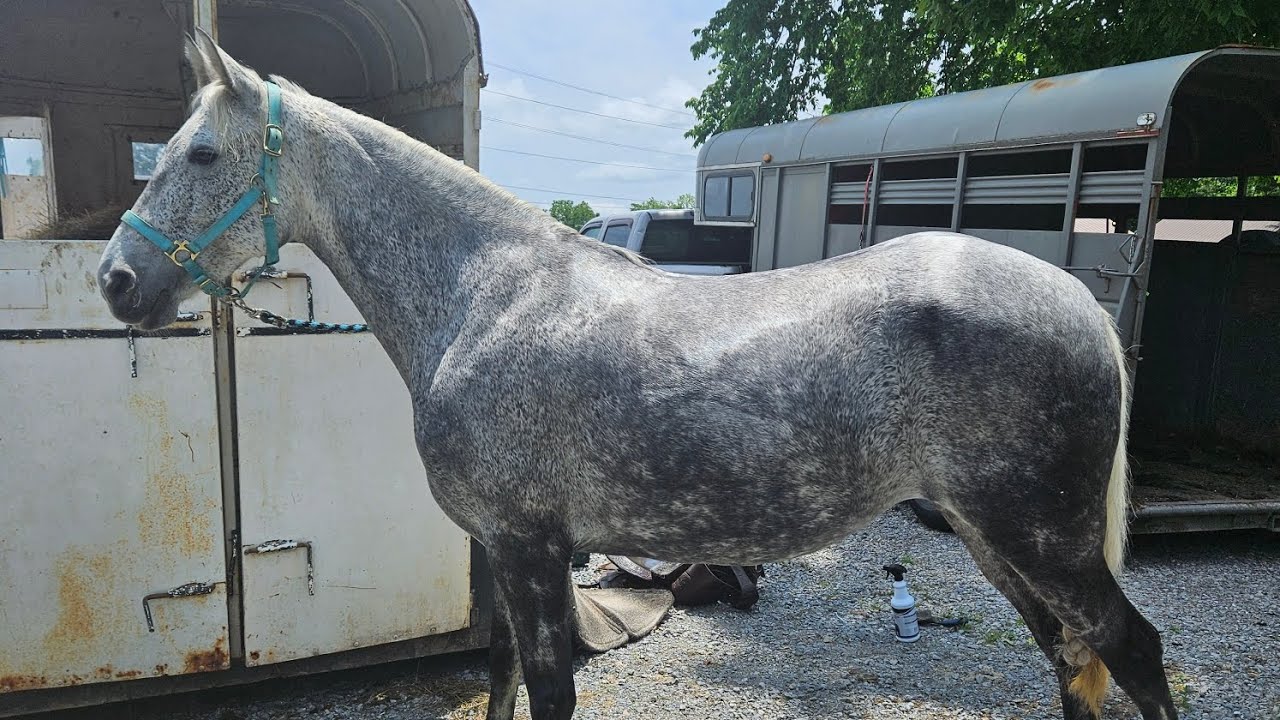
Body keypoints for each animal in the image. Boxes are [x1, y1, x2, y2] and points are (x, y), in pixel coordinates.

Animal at [96, 34, 1179, 720]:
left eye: (201, 152)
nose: (116, 280)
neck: (486, 294)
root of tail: (1072, 296)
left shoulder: (531, 546)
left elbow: (548, 688)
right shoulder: (501, 550)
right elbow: (500, 675)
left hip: (1040, 537)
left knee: (1130, 651)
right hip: (996, 538)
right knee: (1070, 659)